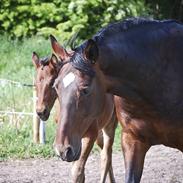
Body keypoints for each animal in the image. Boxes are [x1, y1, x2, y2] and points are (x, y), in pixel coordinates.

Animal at [31, 51, 117, 182]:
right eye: (35, 84)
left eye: (51, 83)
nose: (41, 112)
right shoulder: (71, 144)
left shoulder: (89, 135)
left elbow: (77, 171)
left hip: (110, 125)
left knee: (106, 157)